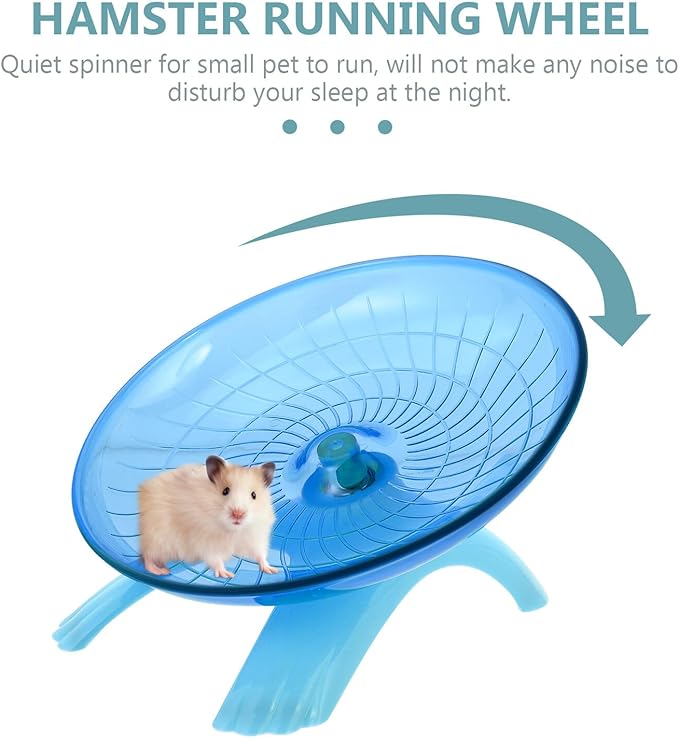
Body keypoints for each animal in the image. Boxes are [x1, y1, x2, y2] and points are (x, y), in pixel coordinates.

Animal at [139, 456, 278, 579]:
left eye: (254, 495)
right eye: (225, 491)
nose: (238, 514)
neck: (233, 530)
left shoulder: (255, 537)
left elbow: (260, 554)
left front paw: (272, 570)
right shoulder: (206, 541)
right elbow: (215, 559)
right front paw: (227, 575)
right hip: (157, 538)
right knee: (147, 556)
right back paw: (161, 571)